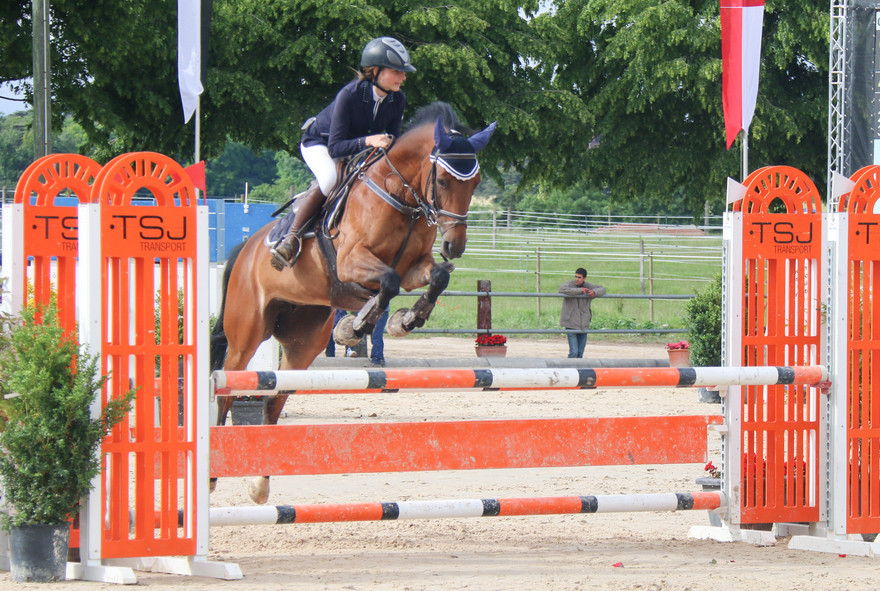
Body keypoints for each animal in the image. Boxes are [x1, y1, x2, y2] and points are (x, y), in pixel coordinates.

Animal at [210, 102, 496, 503]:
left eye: (475, 182)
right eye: (441, 181)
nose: (455, 245)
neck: (400, 196)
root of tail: (245, 248)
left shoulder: (414, 267)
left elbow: (437, 277)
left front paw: (405, 320)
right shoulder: (351, 261)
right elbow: (387, 284)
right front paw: (356, 326)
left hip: (303, 342)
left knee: (274, 399)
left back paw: (260, 484)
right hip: (246, 333)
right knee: (227, 389)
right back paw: (213, 475)